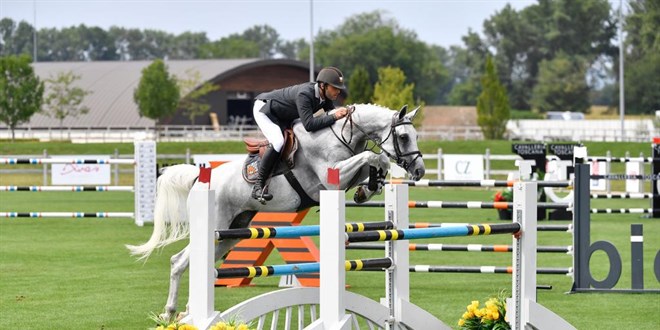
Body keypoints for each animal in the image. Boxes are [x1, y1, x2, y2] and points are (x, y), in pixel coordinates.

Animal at [125, 102, 426, 318]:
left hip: (231, 232)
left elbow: (372, 164)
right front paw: (374, 177)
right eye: (403, 137)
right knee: (179, 261)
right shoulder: (331, 177)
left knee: (196, 262)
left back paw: (187, 311)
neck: (342, 135)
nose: (420, 171)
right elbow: (374, 157)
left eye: (415, 136)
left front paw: (367, 189)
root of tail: (199, 178)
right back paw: (171, 313)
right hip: (215, 226)